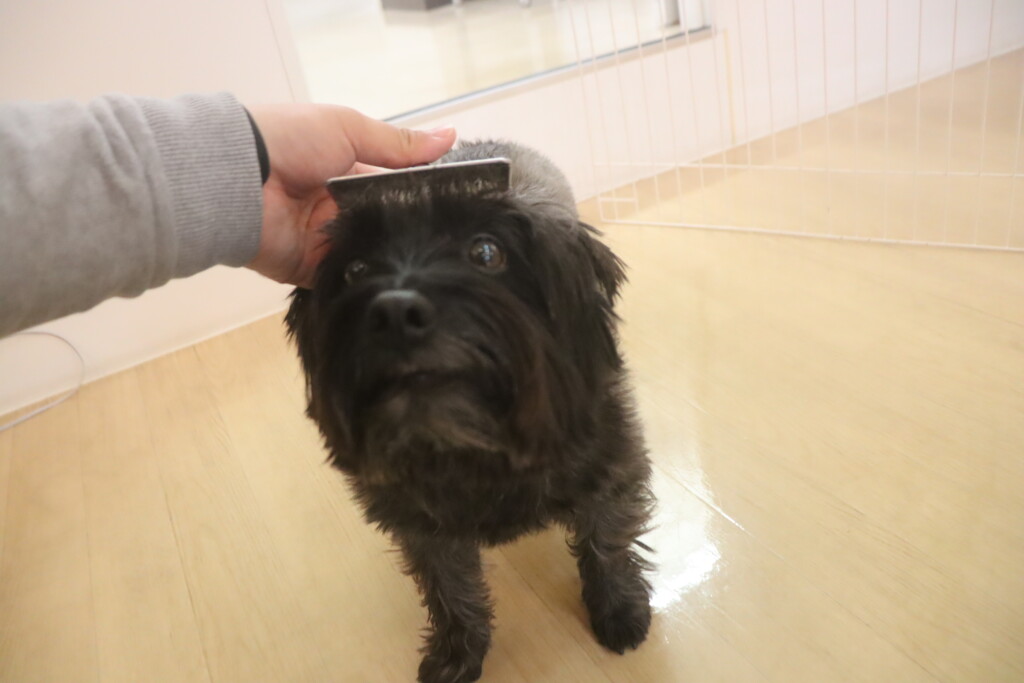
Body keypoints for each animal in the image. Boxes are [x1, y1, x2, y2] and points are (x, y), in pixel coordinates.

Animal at [286, 141, 655, 683]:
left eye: (485, 252)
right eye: (355, 270)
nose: (395, 312)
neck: (473, 443)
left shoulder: (610, 468)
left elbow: (606, 542)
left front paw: (618, 609)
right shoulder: (420, 527)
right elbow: (450, 591)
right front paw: (457, 654)